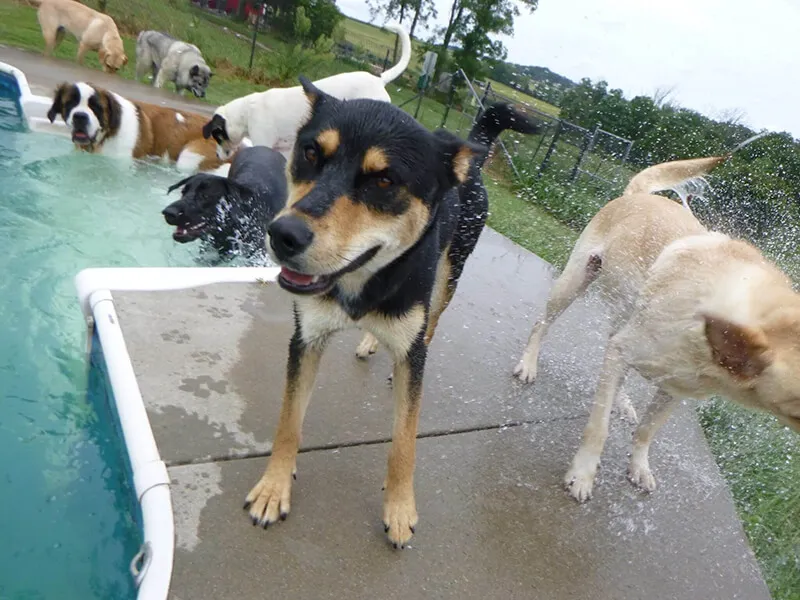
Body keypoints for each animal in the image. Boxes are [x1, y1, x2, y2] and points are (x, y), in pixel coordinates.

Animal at [244, 77, 540, 552]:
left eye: (384, 180)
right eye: (311, 153)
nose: (283, 235)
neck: (360, 281)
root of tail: (469, 158)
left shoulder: (410, 355)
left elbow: (404, 440)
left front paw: (400, 509)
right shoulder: (305, 339)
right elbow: (289, 421)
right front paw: (274, 488)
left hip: (449, 274)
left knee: (430, 322)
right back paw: (369, 339)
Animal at [512, 134, 800, 504]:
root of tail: (636, 195)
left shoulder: (676, 389)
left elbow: (647, 430)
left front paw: (638, 467)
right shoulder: (628, 354)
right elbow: (598, 427)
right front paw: (583, 474)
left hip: (625, 313)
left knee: (612, 354)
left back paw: (622, 402)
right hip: (574, 282)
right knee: (543, 325)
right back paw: (528, 364)